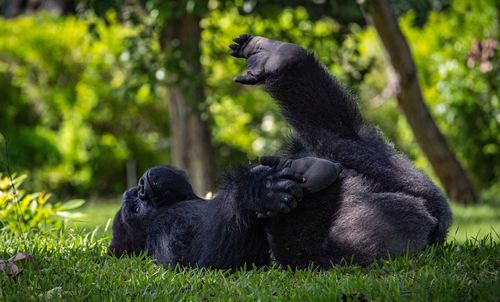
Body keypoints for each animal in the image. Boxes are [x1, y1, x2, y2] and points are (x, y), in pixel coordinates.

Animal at [109, 34, 454, 268]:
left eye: (135, 199)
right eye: (135, 208)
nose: (142, 185)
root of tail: (431, 226)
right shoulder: (167, 233)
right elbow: (211, 260)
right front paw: (256, 192)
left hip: (408, 181)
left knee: (339, 138)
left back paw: (276, 56)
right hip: (368, 240)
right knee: (307, 248)